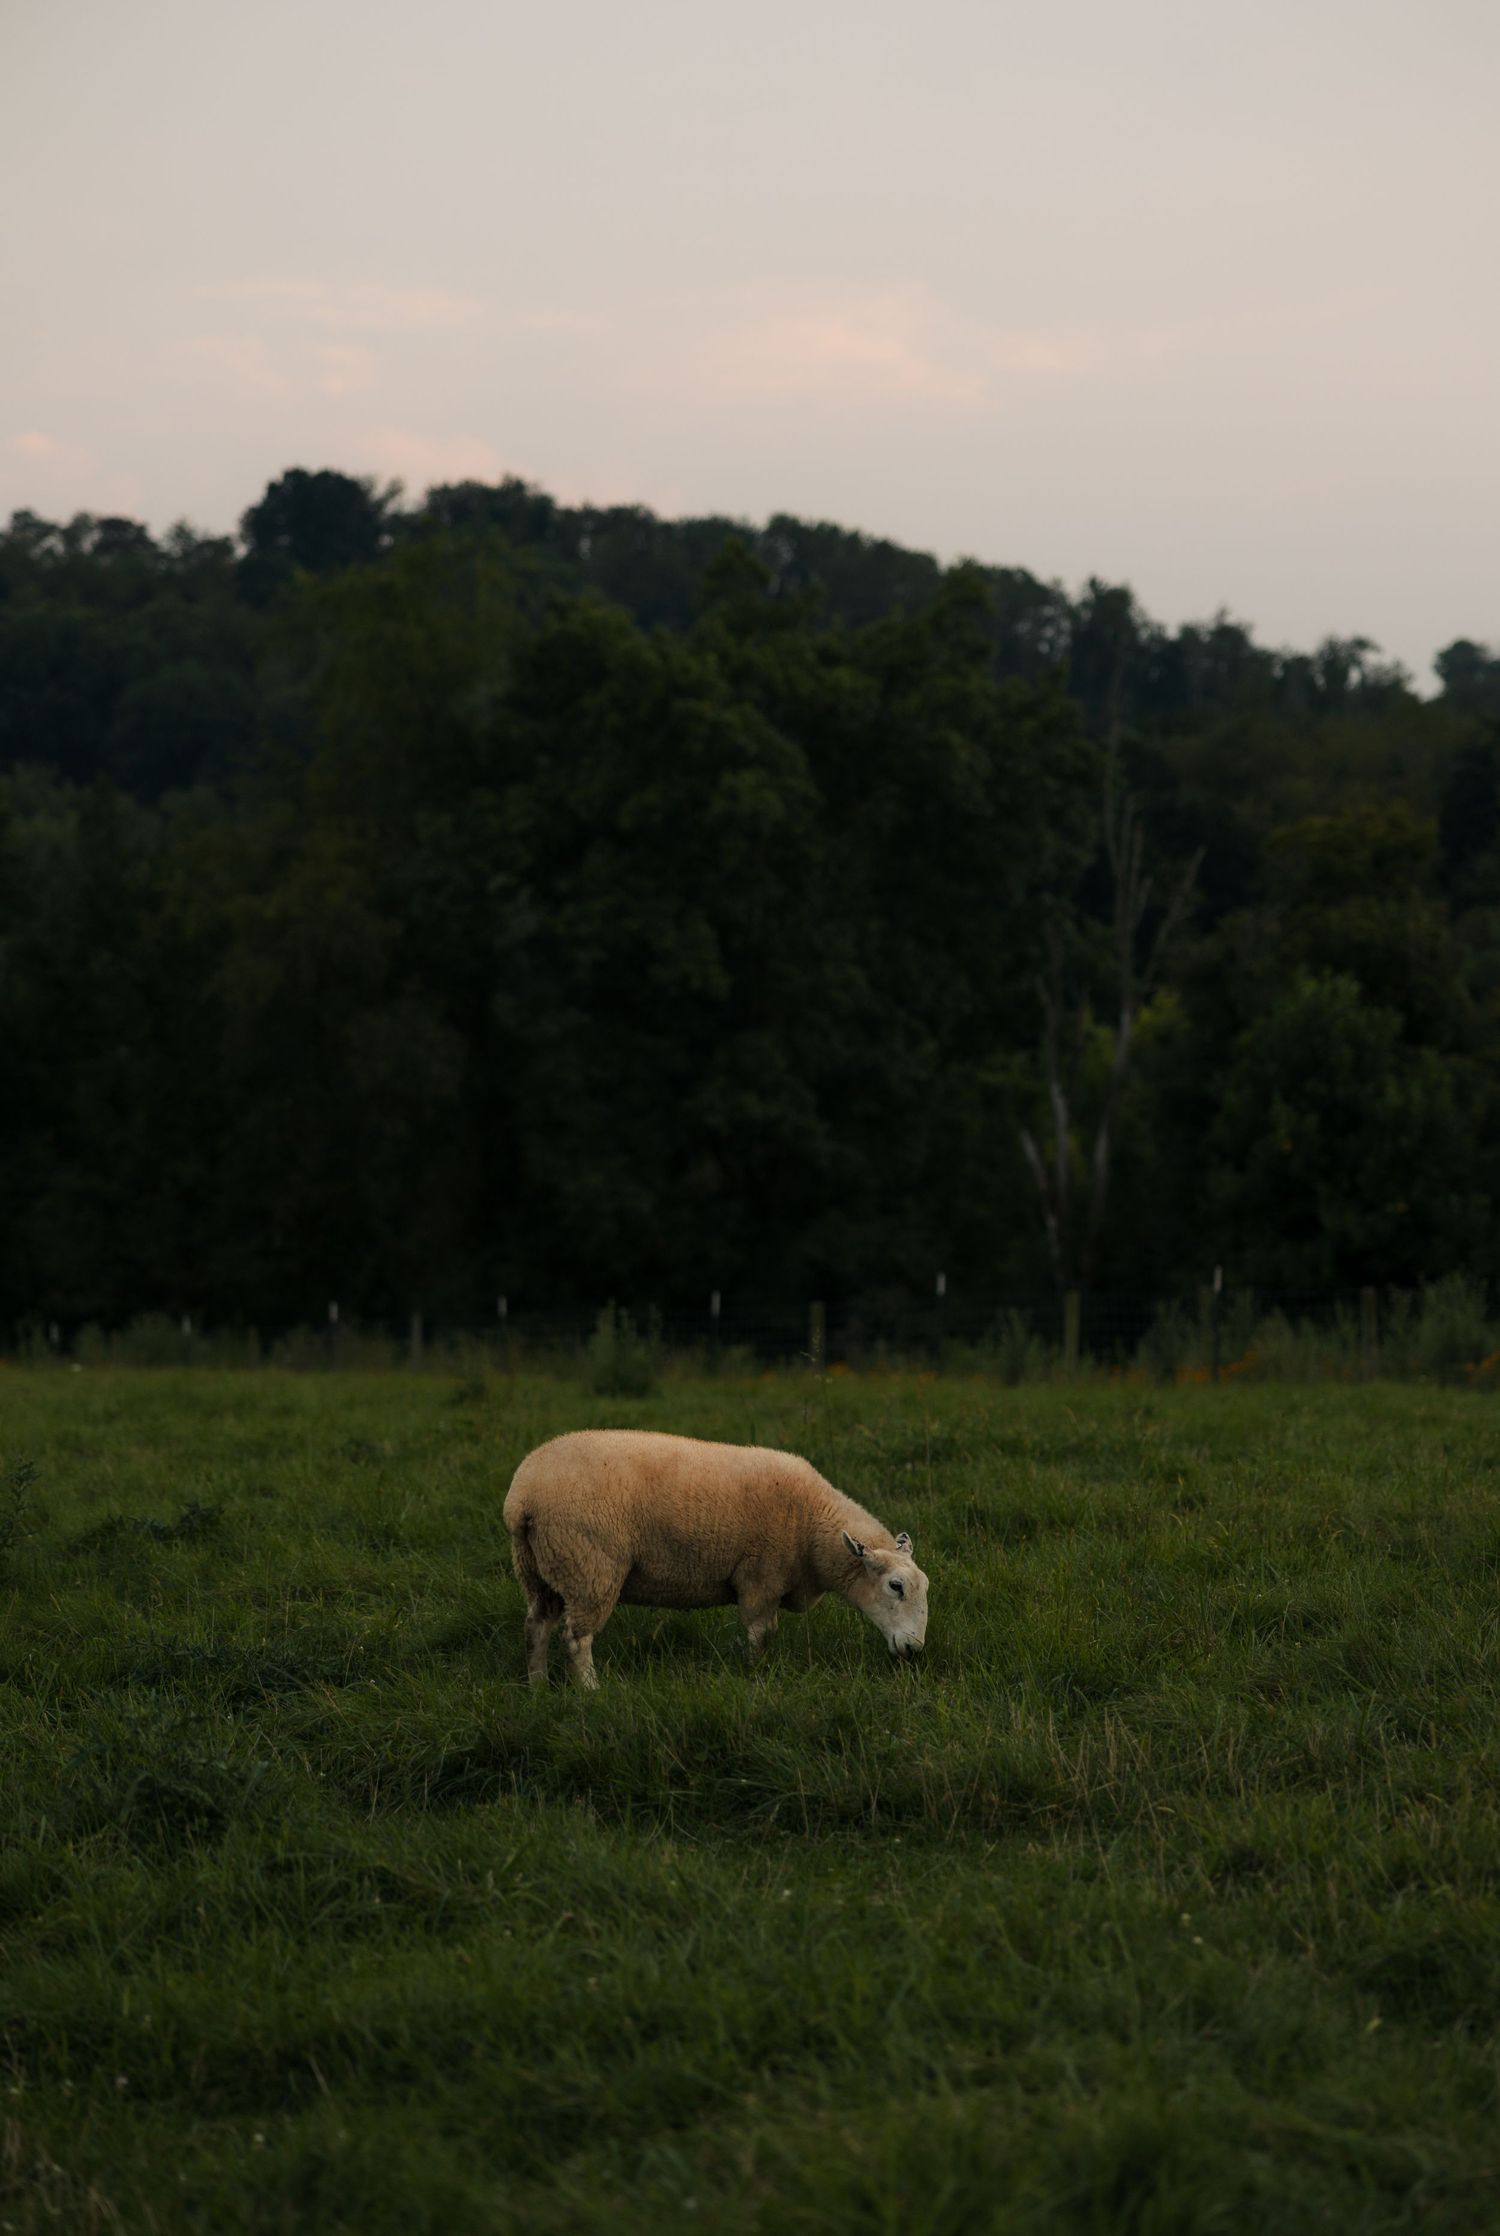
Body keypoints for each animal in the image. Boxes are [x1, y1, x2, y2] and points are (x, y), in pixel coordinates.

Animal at [503, 1428, 930, 1687]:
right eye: (895, 1586)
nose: (914, 1650)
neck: (812, 1527)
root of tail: (522, 1498)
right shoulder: (761, 1578)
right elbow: (762, 1634)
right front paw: (753, 1675)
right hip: (590, 1566)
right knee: (576, 1640)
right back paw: (591, 1691)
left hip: (539, 1570)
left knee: (536, 1627)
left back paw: (538, 1687)